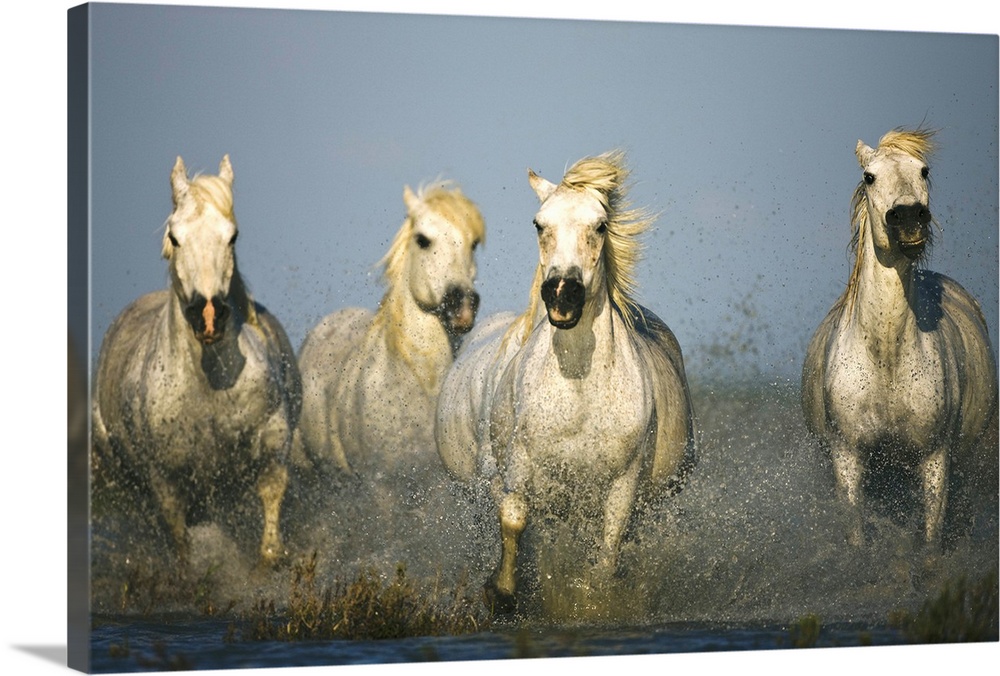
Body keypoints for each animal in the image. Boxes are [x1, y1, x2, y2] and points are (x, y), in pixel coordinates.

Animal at [94, 156, 300, 568]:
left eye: (232, 236)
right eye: (175, 237)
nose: (208, 316)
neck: (208, 387)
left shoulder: (271, 440)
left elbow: (271, 501)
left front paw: (268, 561)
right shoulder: (166, 478)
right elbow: (179, 539)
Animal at [438, 152, 696, 612]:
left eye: (601, 225)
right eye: (539, 224)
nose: (562, 294)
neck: (578, 390)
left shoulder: (622, 486)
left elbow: (607, 556)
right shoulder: (521, 465)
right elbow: (514, 515)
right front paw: (501, 592)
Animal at [804, 129, 1000, 548]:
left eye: (924, 170)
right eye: (869, 177)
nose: (909, 218)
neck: (886, 356)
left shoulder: (934, 460)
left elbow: (929, 542)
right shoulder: (848, 458)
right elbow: (857, 538)